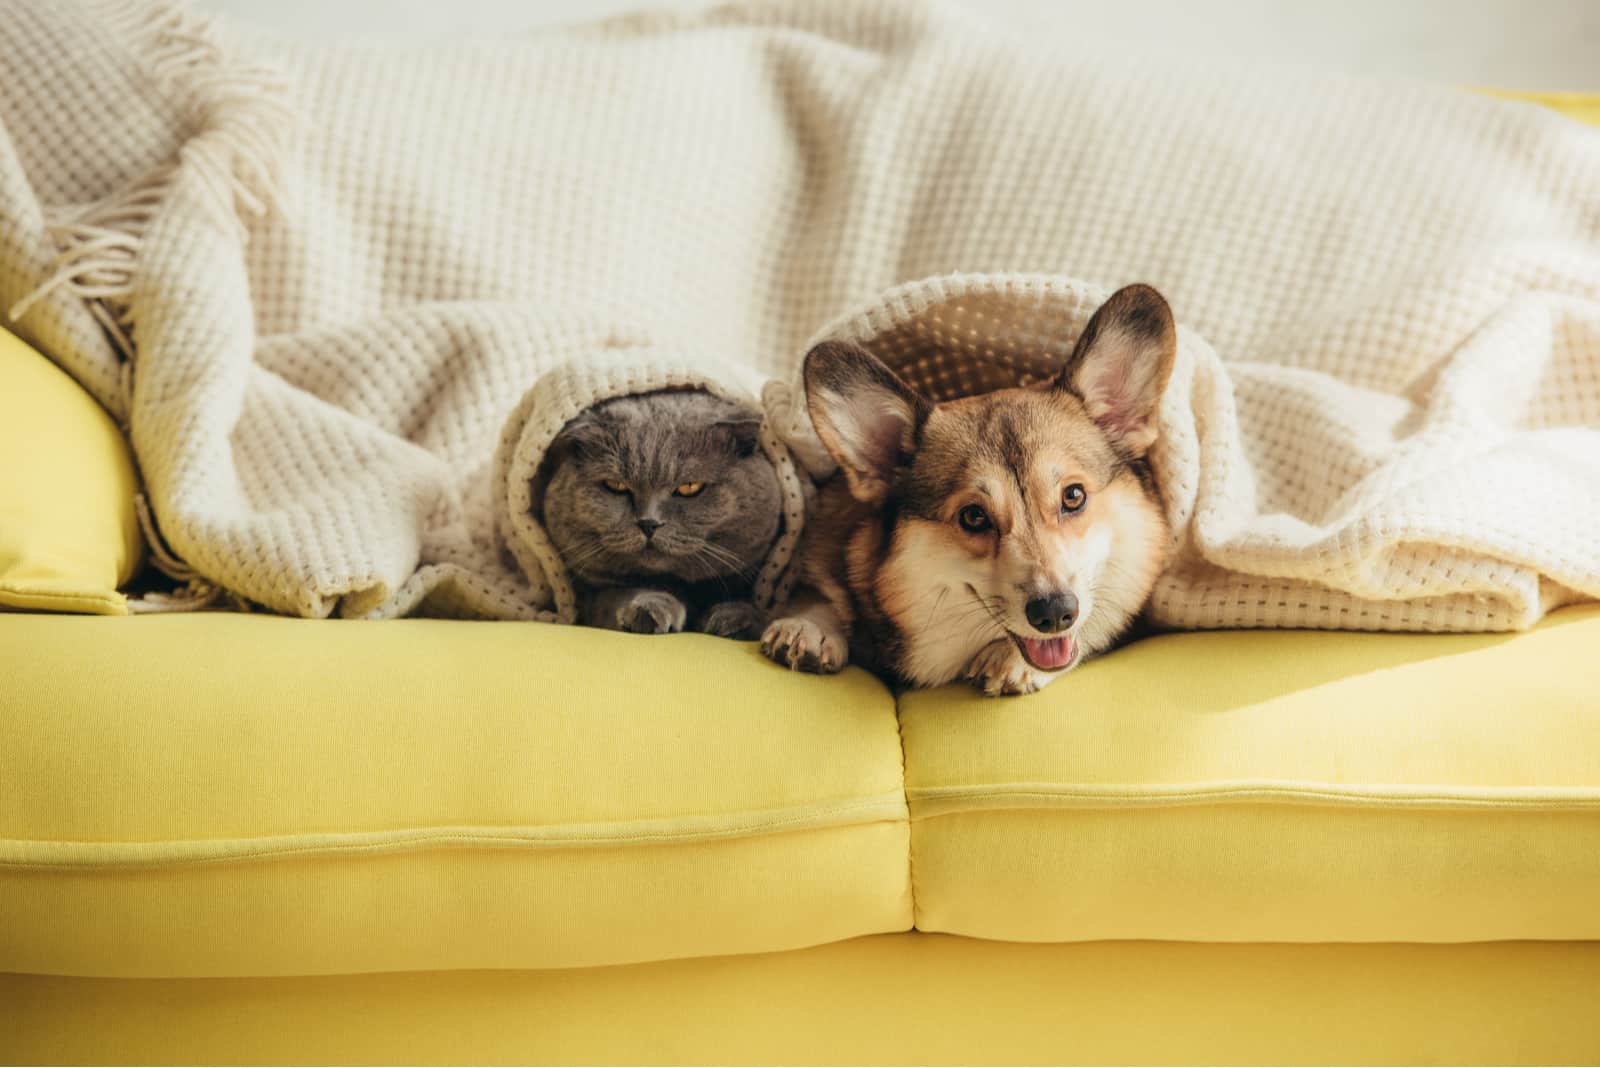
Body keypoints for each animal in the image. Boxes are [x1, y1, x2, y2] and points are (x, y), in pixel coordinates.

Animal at [540, 391, 784, 642]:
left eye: (689, 487)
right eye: (616, 486)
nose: (649, 523)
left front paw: (736, 618)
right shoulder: (586, 596)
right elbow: (612, 595)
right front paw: (649, 608)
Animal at [761, 282, 1177, 697]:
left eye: (1073, 496)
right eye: (973, 516)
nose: (1056, 613)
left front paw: (1009, 660)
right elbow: (821, 593)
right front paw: (808, 627)